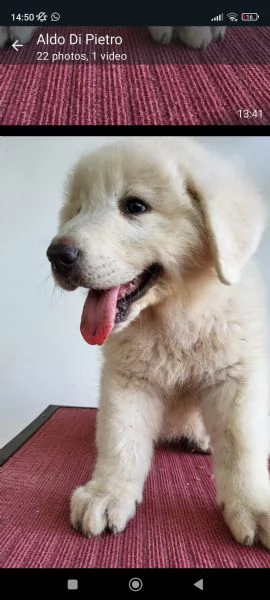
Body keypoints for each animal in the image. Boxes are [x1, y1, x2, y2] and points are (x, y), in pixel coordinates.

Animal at [47, 137, 270, 548]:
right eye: (79, 209)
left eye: (135, 206)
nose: (56, 255)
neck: (172, 316)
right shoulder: (126, 380)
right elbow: (121, 440)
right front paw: (106, 494)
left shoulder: (236, 376)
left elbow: (241, 445)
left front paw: (253, 505)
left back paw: (201, 438)